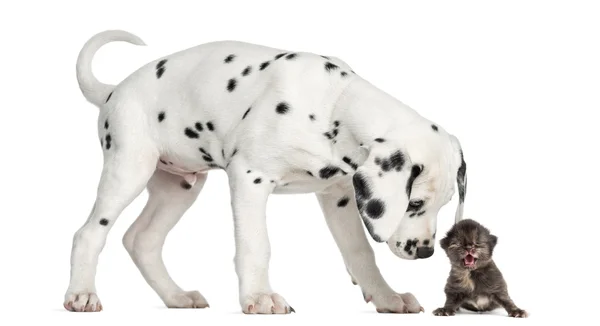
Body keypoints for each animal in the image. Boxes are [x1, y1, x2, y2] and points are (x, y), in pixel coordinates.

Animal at [65, 29, 468, 314]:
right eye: (413, 204)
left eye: (445, 205)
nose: (426, 252)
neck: (333, 104)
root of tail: (113, 91)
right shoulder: (249, 178)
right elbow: (256, 245)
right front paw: (260, 297)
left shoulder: (338, 196)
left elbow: (359, 251)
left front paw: (386, 296)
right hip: (128, 169)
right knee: (89, 233)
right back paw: (81, 294)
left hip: (178, 188)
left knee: (142, 240)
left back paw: (176, 296)